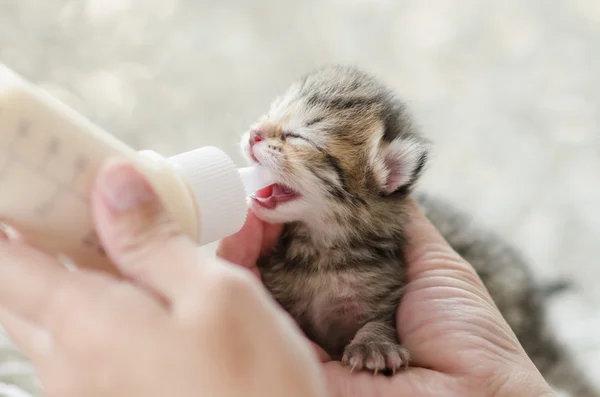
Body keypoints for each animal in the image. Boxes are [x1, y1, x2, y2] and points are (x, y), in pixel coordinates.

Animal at [240, 65, 600, 396]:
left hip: (528, 325)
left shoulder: (388, 290)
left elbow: (381, 321)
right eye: (269, 114)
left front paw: (374, 345)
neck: (322, 251)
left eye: (297, 136)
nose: (254, 132)